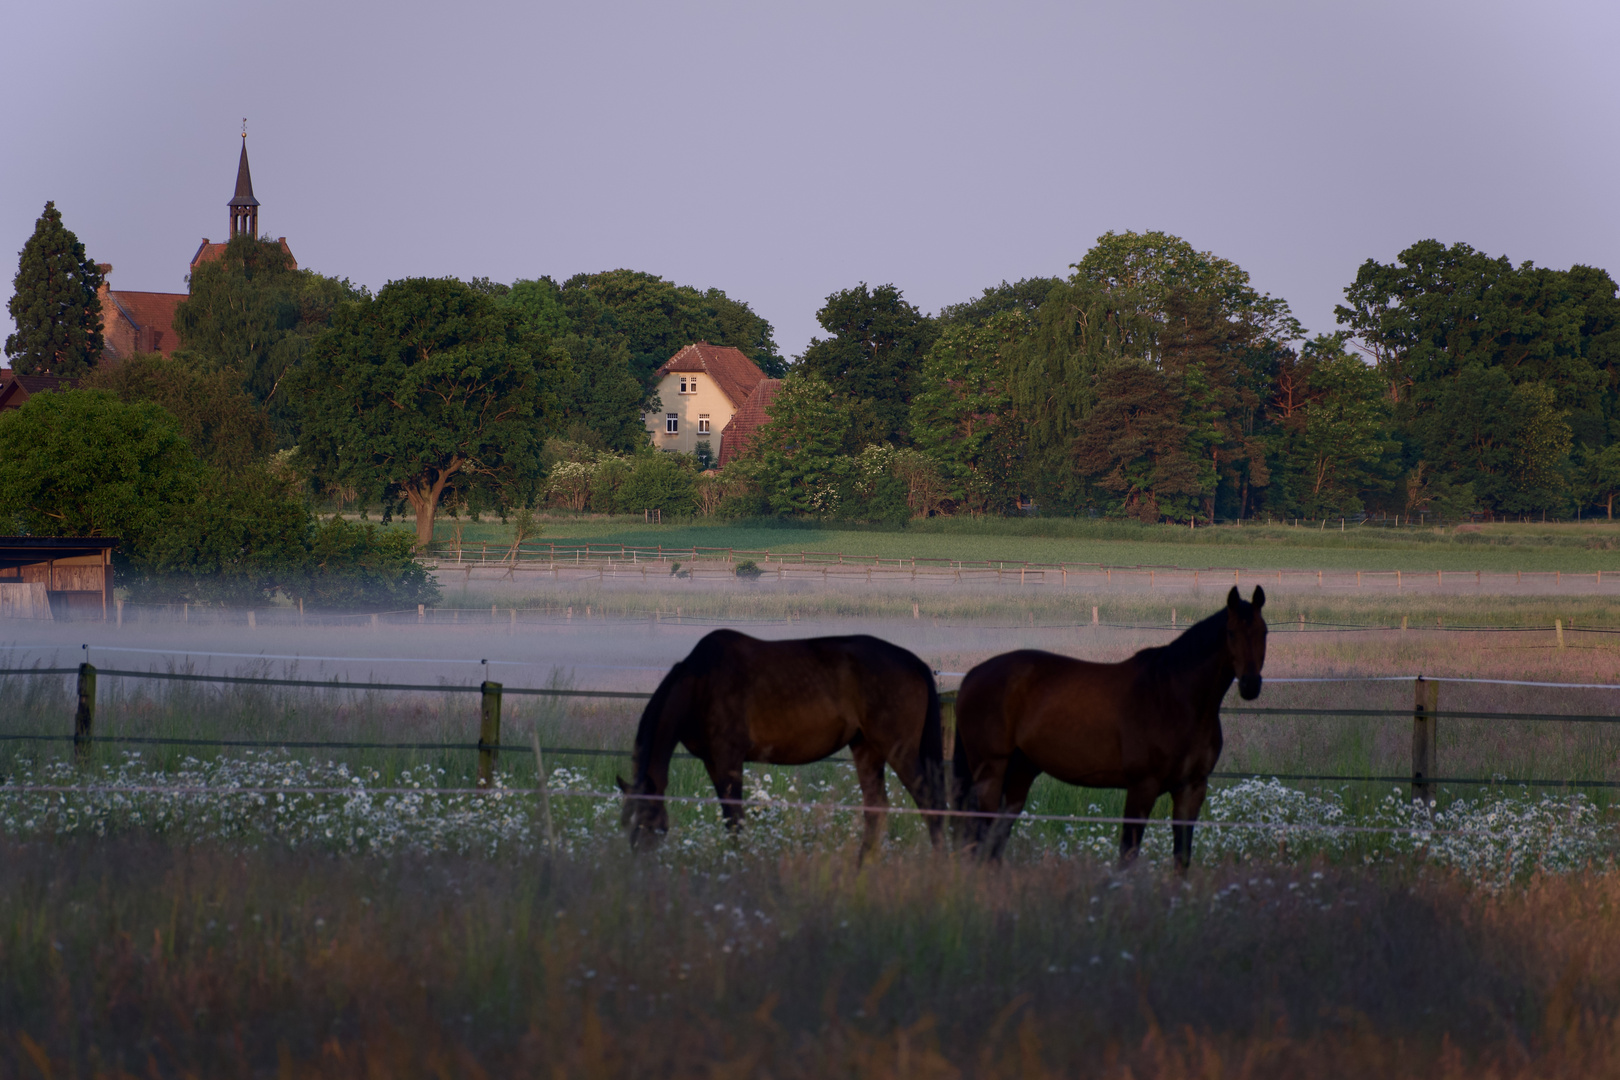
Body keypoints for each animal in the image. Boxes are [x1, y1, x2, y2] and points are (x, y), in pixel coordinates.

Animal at [618, 628, 946, 867]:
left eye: (652, 826)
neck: (700, 683)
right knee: (876, 808)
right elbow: (728, 816)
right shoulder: (712, 761)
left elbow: (735, 818)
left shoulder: (728, 758)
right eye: (628, 827)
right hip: (866, 748)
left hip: (898, 750)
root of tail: (915, 662)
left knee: (929, 802)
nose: (640, 870)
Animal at [946, 582, 1263, 867]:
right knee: (981, 832)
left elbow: (1182, 856)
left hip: (1020, 771)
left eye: (1263, 632)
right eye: (1231, 632)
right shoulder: (1143, 786)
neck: (1175, 697)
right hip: (990, 770)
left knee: (996, 838)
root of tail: (973, 675)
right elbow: (1128, 855)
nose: (1251, 685)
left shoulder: (1192, 788)